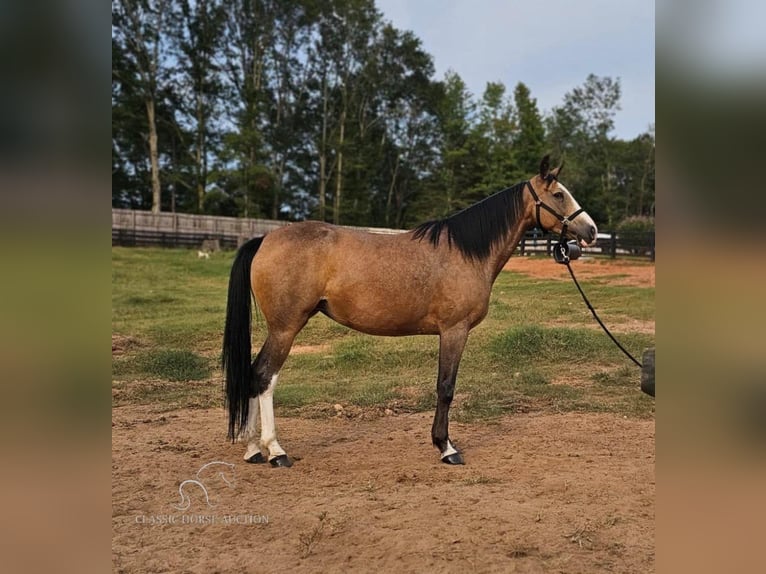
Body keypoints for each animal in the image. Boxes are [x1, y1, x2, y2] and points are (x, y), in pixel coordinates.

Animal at [222, 156, 600, 468]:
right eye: (559, 195)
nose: (592, 231)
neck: (465, 253)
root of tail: (265, 239)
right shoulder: (454, 331)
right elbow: (446, 387)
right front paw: (446, 447)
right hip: (286, 328)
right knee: (264, 377)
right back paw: (275, 451)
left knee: (254, 374)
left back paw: (253, 449)